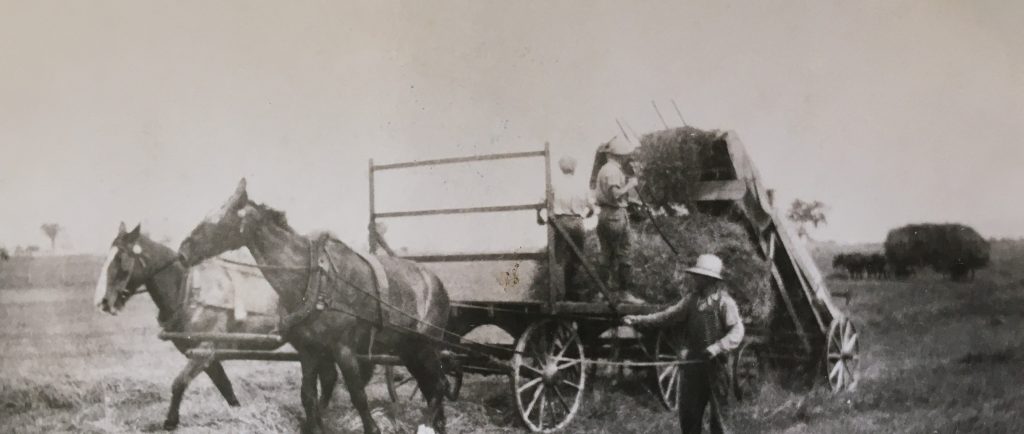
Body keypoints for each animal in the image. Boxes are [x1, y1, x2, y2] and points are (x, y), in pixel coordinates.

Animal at [93, 224, 339, 429]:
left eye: (121, 260)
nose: (103, 302)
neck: (188, 290)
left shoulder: (204, 350)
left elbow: (179, 383)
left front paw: (170, 421)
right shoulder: (207, 356)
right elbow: (224, 386)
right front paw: (238, 413)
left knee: (325, 378)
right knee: (328, 377)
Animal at [178, 179, 454, 434]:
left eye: (216, 219)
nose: (182, 252)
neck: (315, 280)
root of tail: (437, 282)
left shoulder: (344, 349)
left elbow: (358, 395)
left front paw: (372, 427)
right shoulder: (308, 350)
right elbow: (308, 396)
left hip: (427, 345)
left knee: (439, 385)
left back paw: (428, 424)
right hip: (408, 348)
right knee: (430, 386)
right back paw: (437, 424)